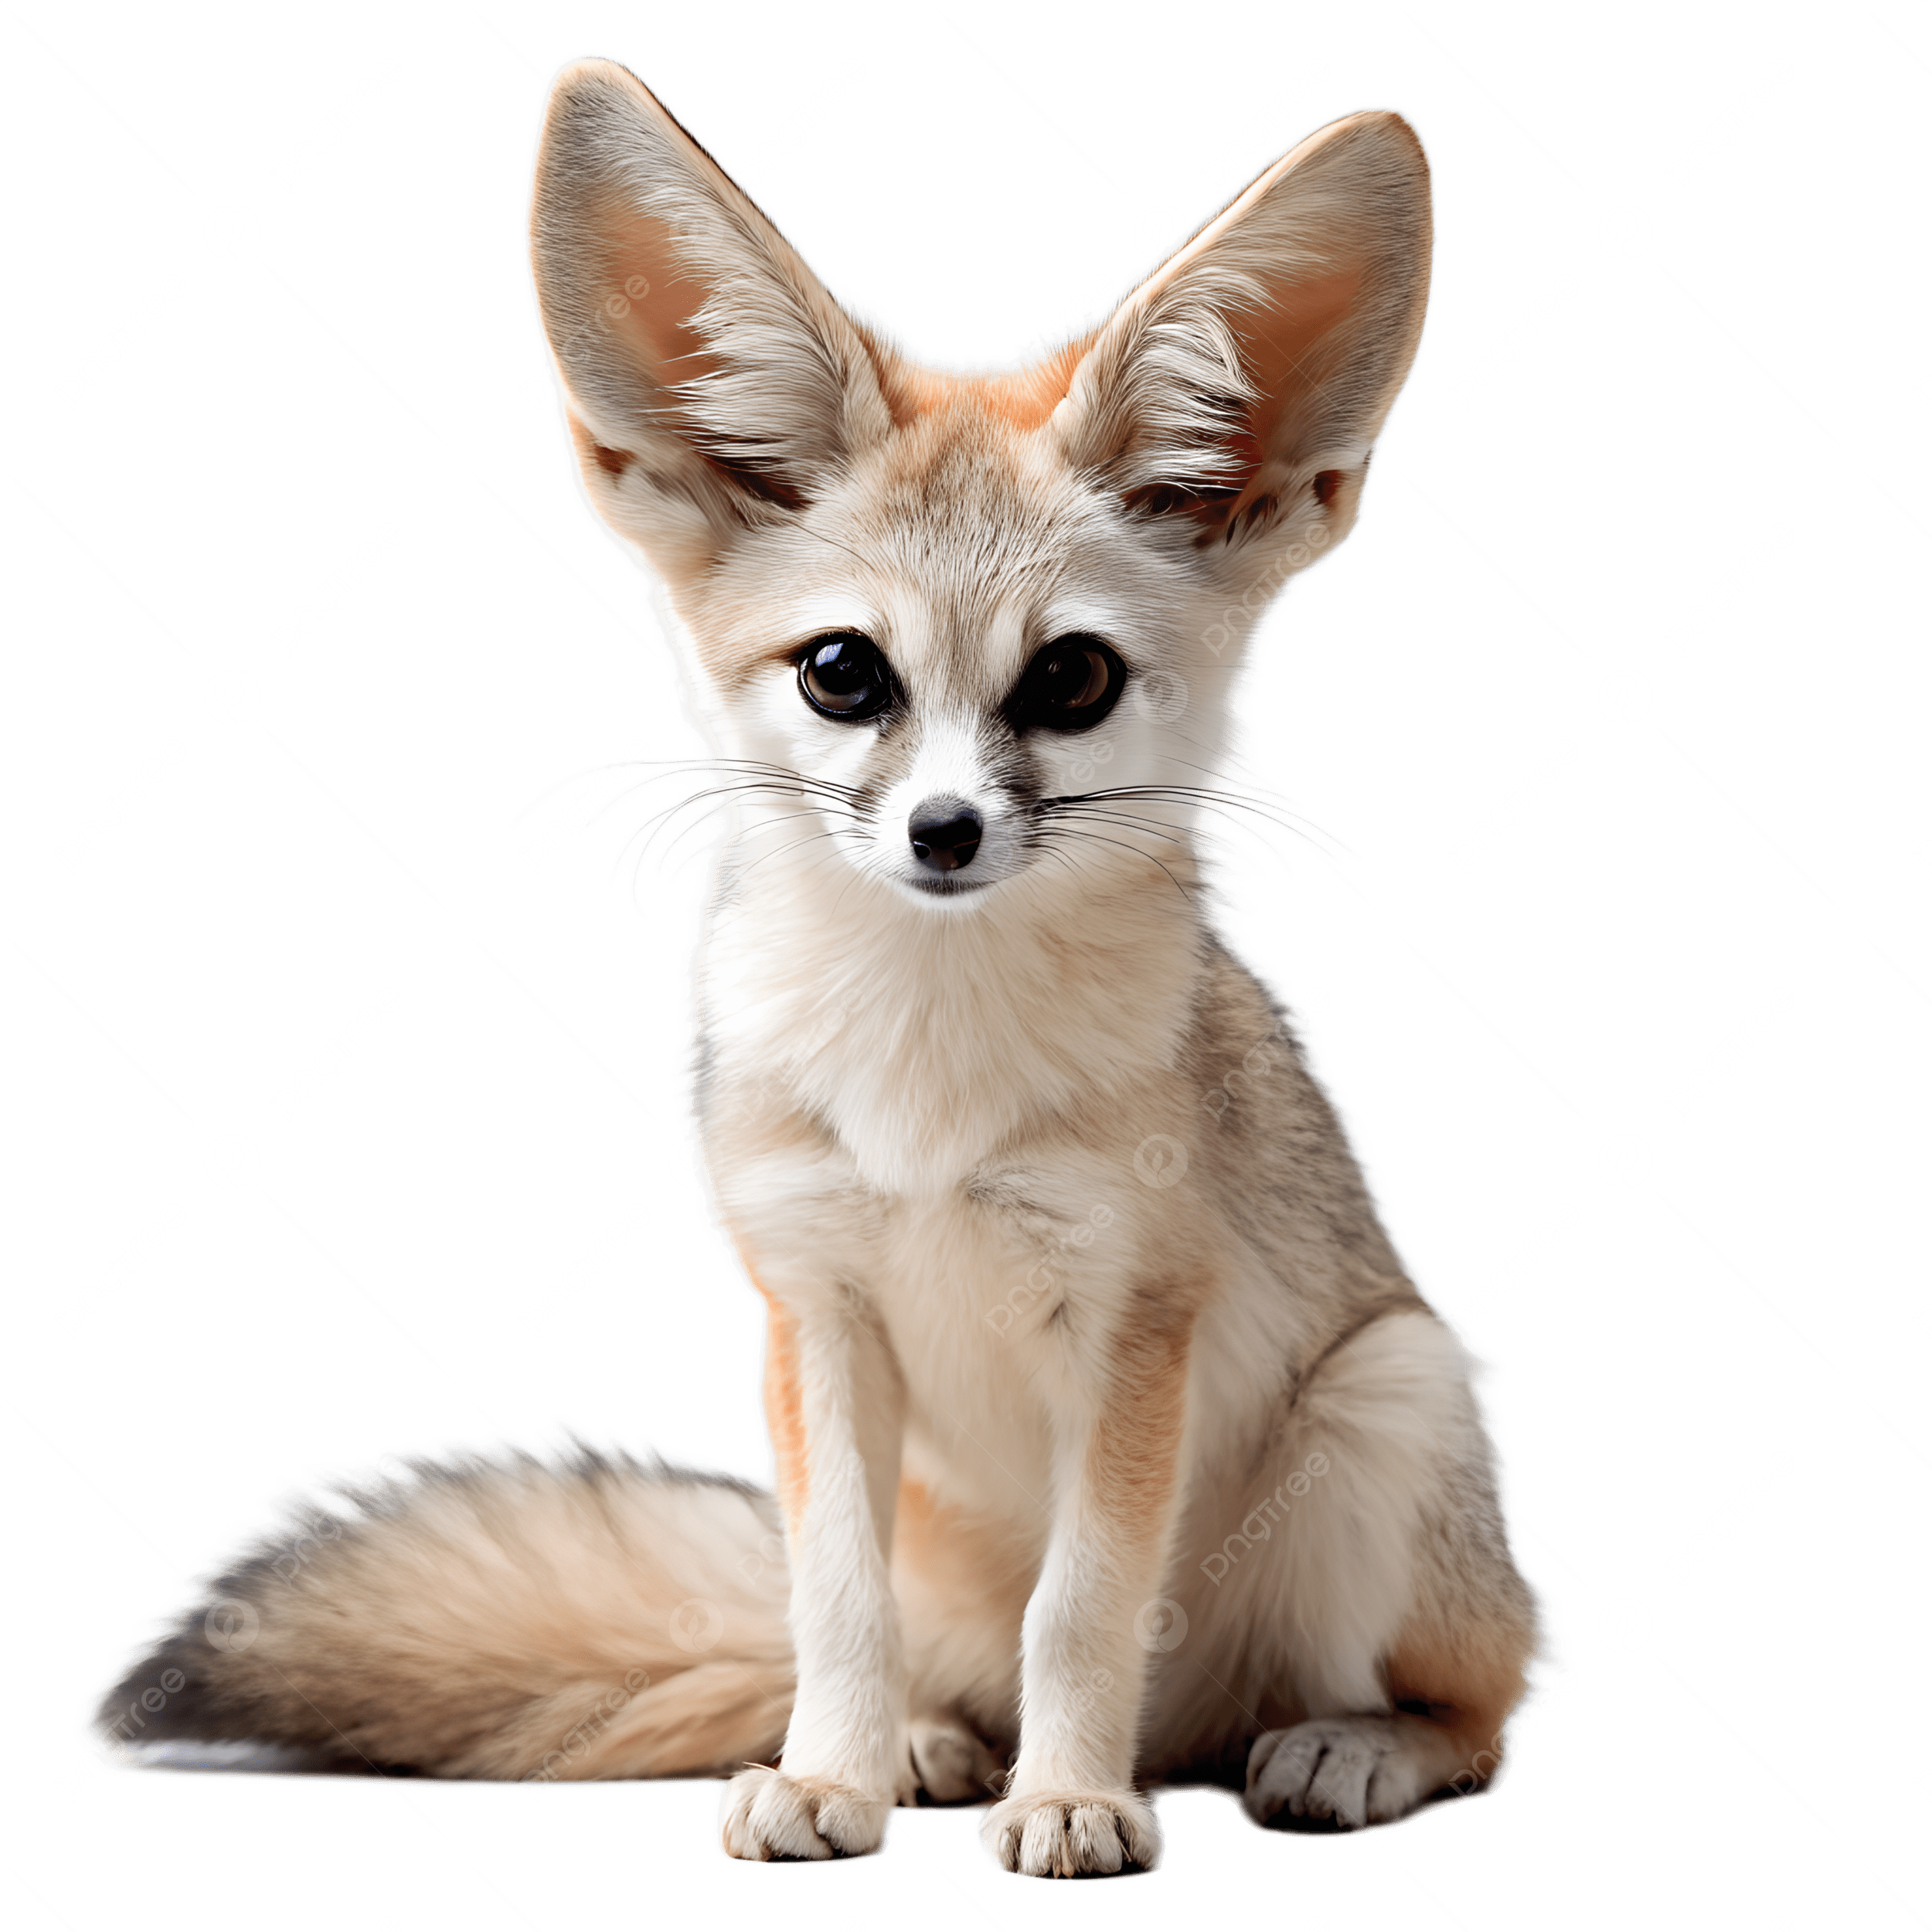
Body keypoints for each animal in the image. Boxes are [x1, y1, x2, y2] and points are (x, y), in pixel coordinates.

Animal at [78, 53, 1571, 1878]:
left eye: (1071, 680)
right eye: (845, 672)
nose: (941, 831)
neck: (924, 1074)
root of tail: (1205, 1726)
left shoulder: (1133, 1322)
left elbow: (1087, 1603)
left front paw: (1068, 1802)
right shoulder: (810, 1312)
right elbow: (833, 1598)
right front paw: (835, 1776)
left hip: (1393, 1395)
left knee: (1477, 1701)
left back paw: (1315, 1750)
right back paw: (937, 1745)